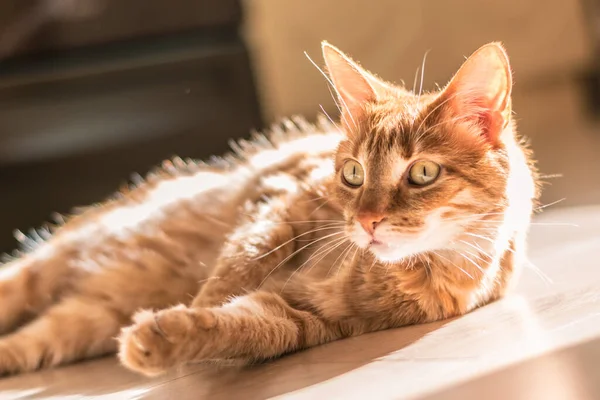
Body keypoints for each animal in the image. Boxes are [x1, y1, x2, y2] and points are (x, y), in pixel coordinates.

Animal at [0, 40, 536, 376]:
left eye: (423, 173)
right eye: (353, 173)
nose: (366, 222)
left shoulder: (312, 317)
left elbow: (254, 328)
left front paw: (172, 335)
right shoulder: (282, 197)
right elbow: (241, 262)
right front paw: (199, 303)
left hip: (78, 322)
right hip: (42, 269)